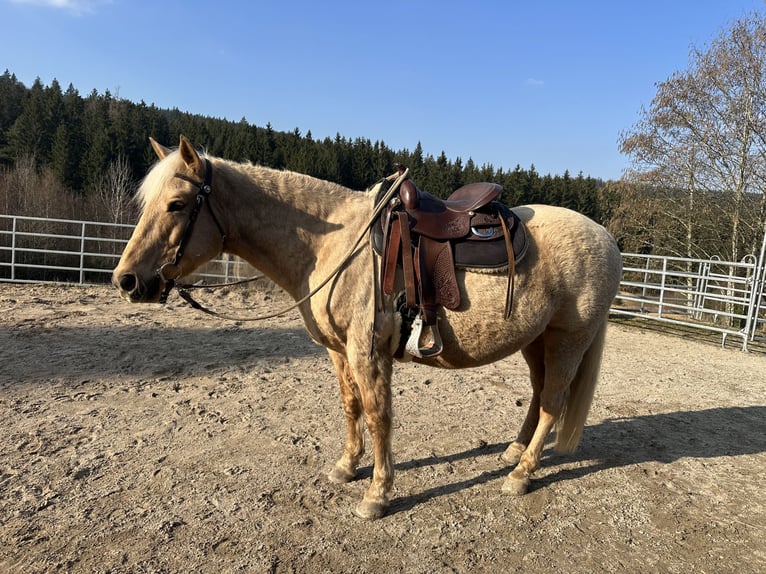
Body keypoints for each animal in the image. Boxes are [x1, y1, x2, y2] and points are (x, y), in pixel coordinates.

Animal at [113, 135, 623, 520]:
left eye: (177, 204)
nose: (127, 280)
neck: (333, 245)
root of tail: (607, 238)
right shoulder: (339, 351)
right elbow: (351, 407)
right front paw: (346, 467)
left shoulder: (367, 352)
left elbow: (379, 416)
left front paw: (377, 494)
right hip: (535, 340)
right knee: (538, 396)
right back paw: (513, 454)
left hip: (568, 341)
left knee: (554, 403)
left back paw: (521, 475)